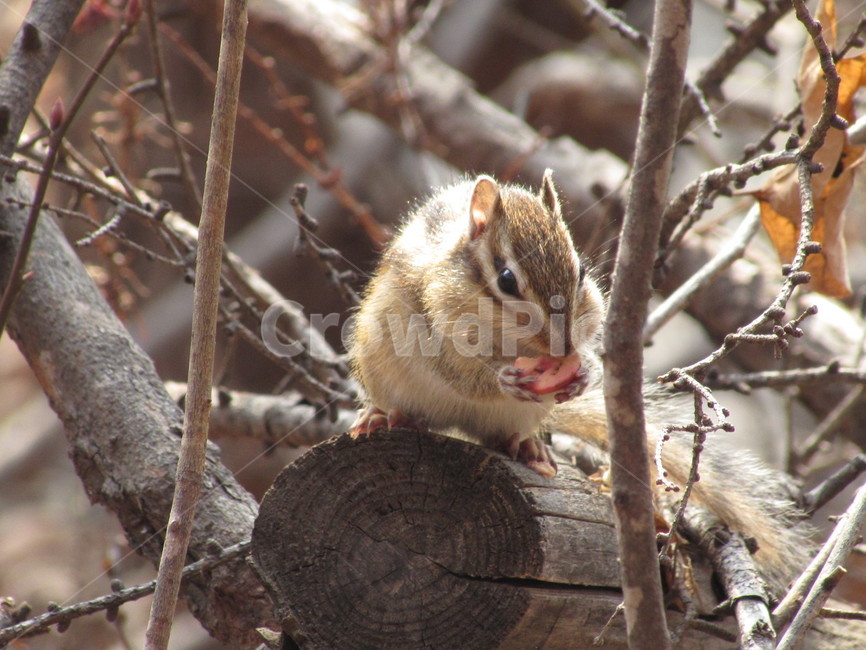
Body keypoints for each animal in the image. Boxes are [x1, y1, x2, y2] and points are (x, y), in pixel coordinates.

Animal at [346, 171, 811, 592]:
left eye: (581, 272)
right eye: (507, 280)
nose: (562, 344)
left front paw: (584, 370)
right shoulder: (433, 322)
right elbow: (460, 371)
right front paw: (504, 379)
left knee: (502, 435)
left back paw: (526, 446)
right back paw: (385, 416)